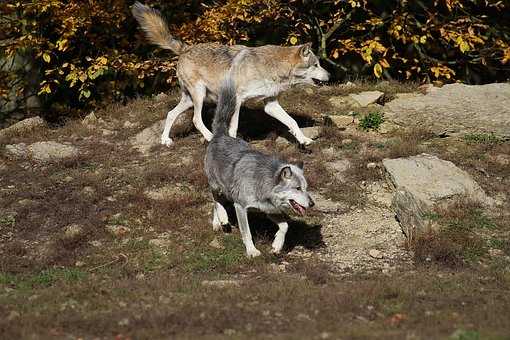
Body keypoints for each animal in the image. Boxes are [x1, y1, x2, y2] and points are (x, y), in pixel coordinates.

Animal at [131, 1, 330, 147]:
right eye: (316, 65)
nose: (329, 76)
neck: (272, 67)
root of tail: (185, 48)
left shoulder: (270, 104)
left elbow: (292, 122)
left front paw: (304, 140)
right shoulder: (238, 99)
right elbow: (233, 128)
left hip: (190, 99)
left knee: (171, 114)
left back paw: (165, 140)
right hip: (199, 95)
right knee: (196, 120)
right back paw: (210, 138)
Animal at [203, 77, 314, 258]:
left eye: (306, 188)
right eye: (297, 188)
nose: (312, 204)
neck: (262, 182)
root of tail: (221, 134)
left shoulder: (268, 209)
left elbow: (285, 226)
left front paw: (277, 246)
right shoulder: (240, 207)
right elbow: (246, 232)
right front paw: (252, 251)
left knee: (216, 202)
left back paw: (218, 223)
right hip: (216, 185)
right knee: (215, 199)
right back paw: (223, 219)